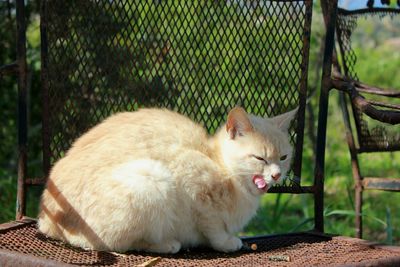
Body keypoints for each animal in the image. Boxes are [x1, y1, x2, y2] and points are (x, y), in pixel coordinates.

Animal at [37, 106, 296, 253]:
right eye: (260, 158)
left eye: (283, 157)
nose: (276, 174)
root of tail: (46, 220)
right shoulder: (195, 189)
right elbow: (213, 227)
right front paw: (226, 242)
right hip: (152, 179)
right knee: (117, 244)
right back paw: (167, 244)